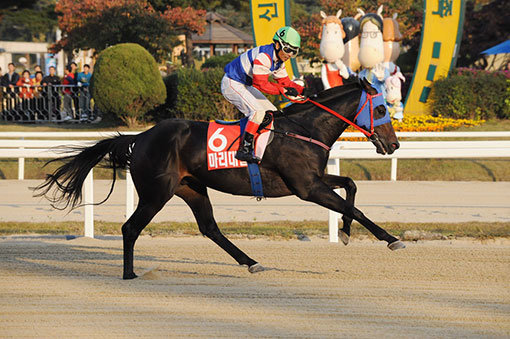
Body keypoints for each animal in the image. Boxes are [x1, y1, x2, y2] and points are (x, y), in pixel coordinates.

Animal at [33, 78, 404, 280]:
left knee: (210, 228)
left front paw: (344, 232)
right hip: (156, 192)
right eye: (381, 109)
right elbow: (355, 208)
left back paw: (251, 262)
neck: (304, 128)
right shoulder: (306, 187)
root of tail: (141, 136)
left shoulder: (311, 179)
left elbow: (351, 186)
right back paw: (129, 273)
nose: (394, 145)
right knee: (130, 228)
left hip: (191, 188)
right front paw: (391, 239)